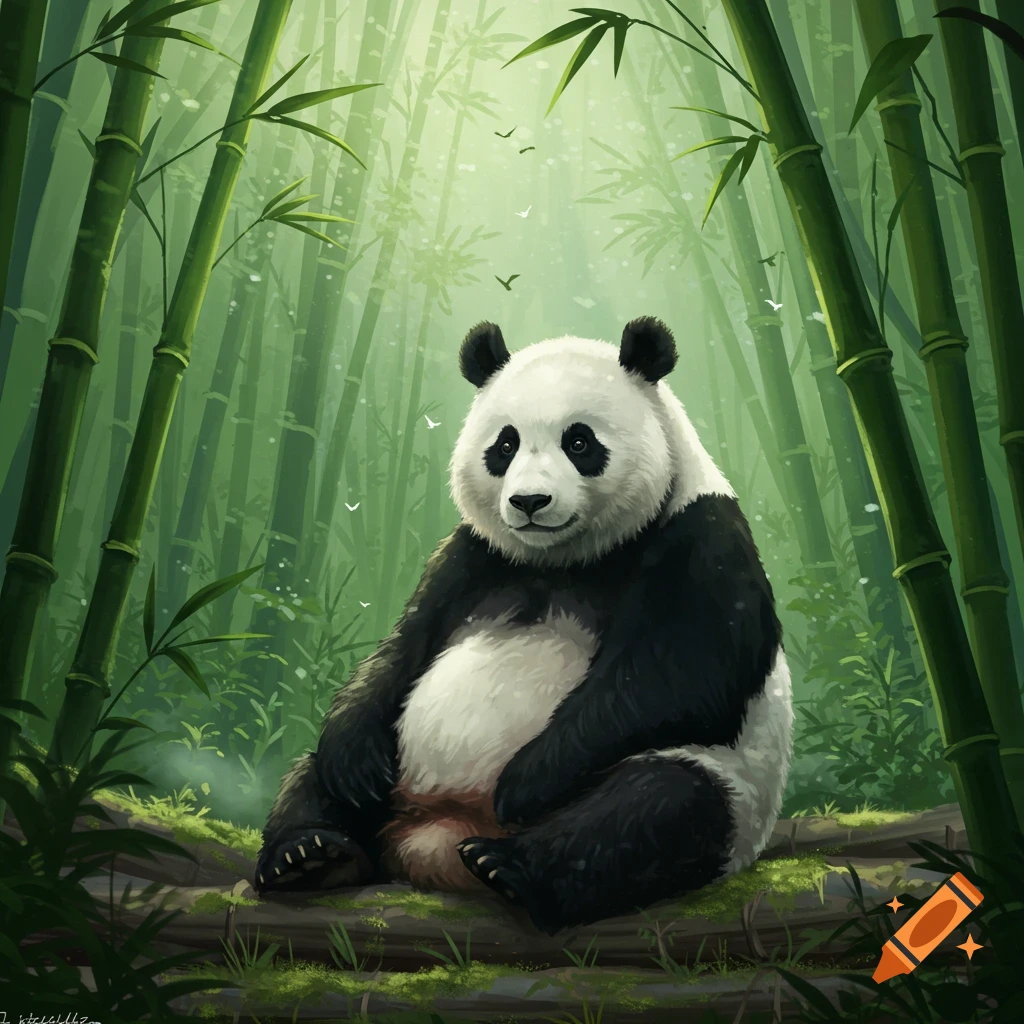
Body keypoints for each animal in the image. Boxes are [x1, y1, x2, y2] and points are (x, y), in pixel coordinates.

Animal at [254, 316, 793, 935]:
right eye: (505, 444)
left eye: (579, 442)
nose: (529, 501)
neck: (564, 558)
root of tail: (435, 837)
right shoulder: (471, 557)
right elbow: (400, 649)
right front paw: (355, 762)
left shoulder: (701, 537)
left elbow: (686, 673)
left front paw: (523, 781)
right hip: (393, 785)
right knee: (311, 776)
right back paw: (310, 854)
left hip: (730, 788)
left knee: (656, 808)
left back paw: (508, 865)